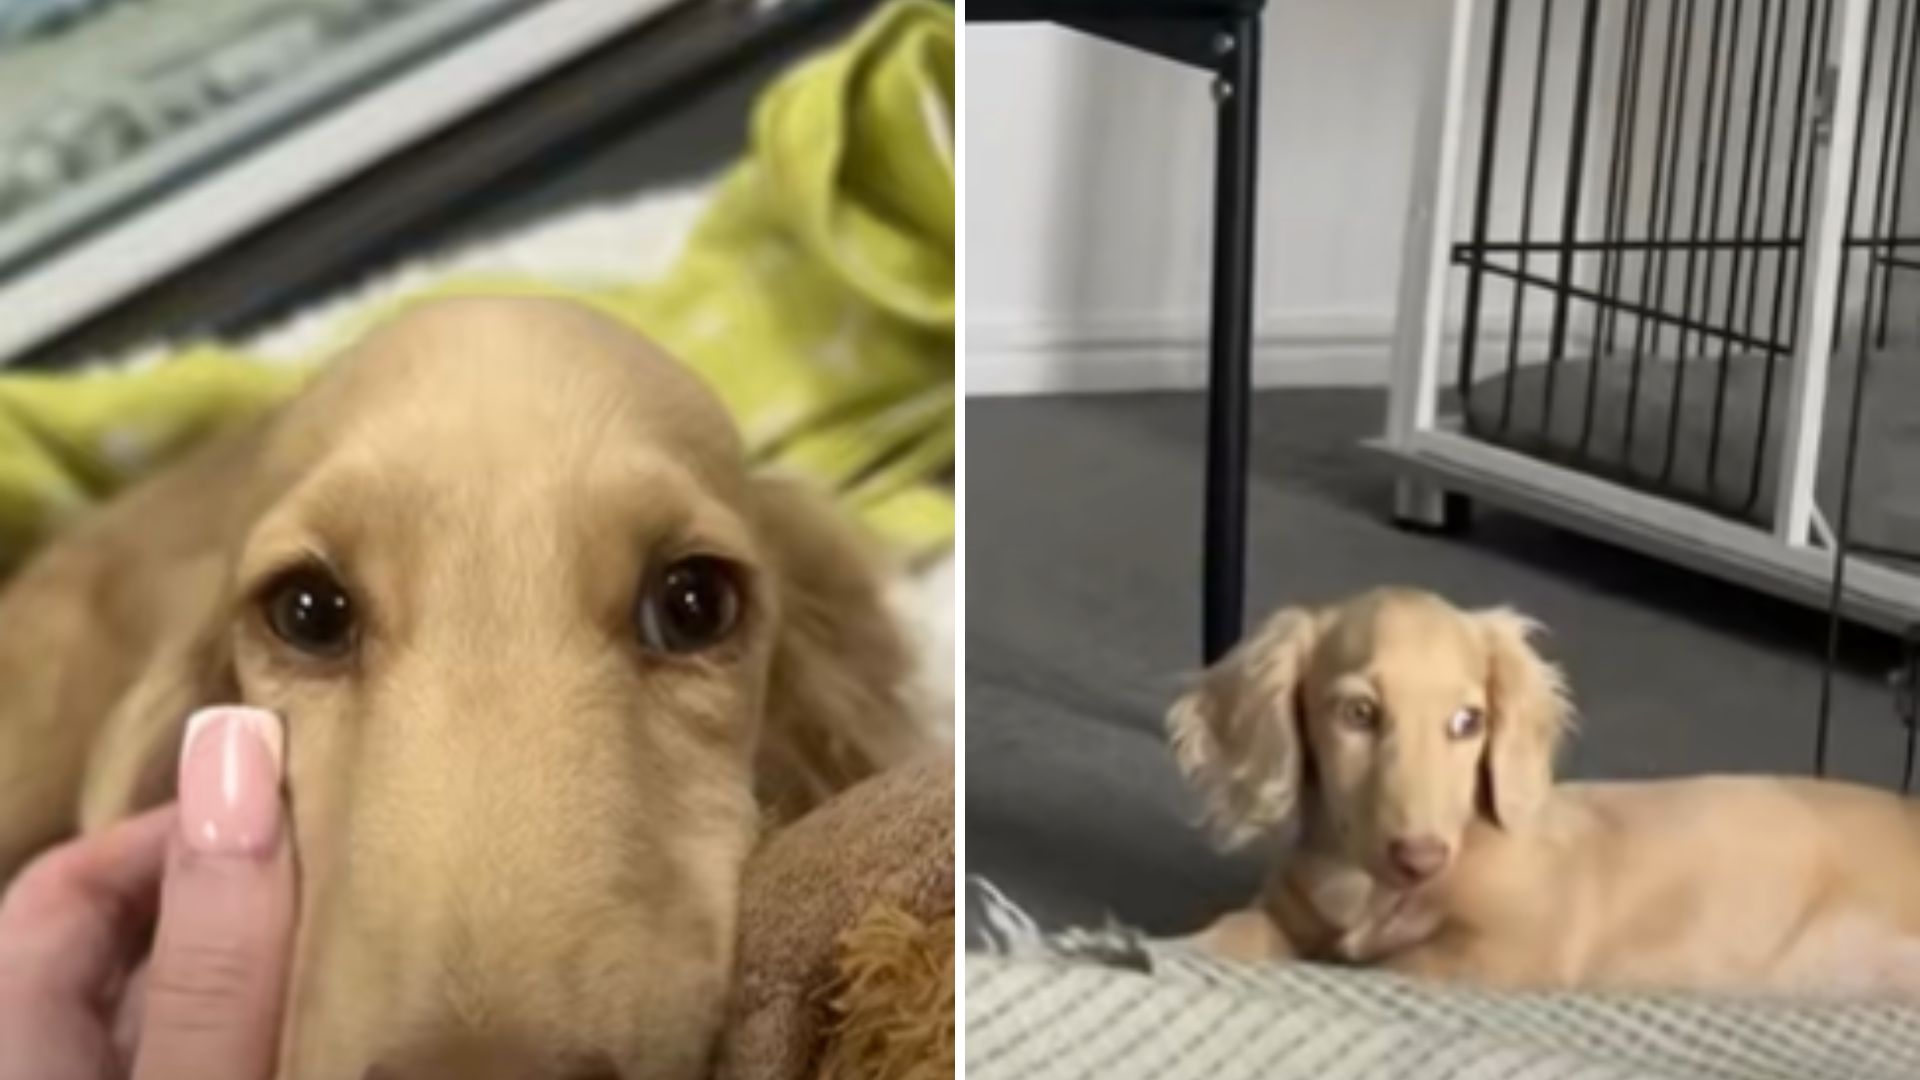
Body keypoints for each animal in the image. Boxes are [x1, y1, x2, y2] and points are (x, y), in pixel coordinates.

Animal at [1167, 584, 1920, 999]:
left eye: (1468, 722)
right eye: (1358, 713)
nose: (1421, 857)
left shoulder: (1507, 953)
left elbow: (1395, 966)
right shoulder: (1284, 916)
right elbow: (1233, 934)